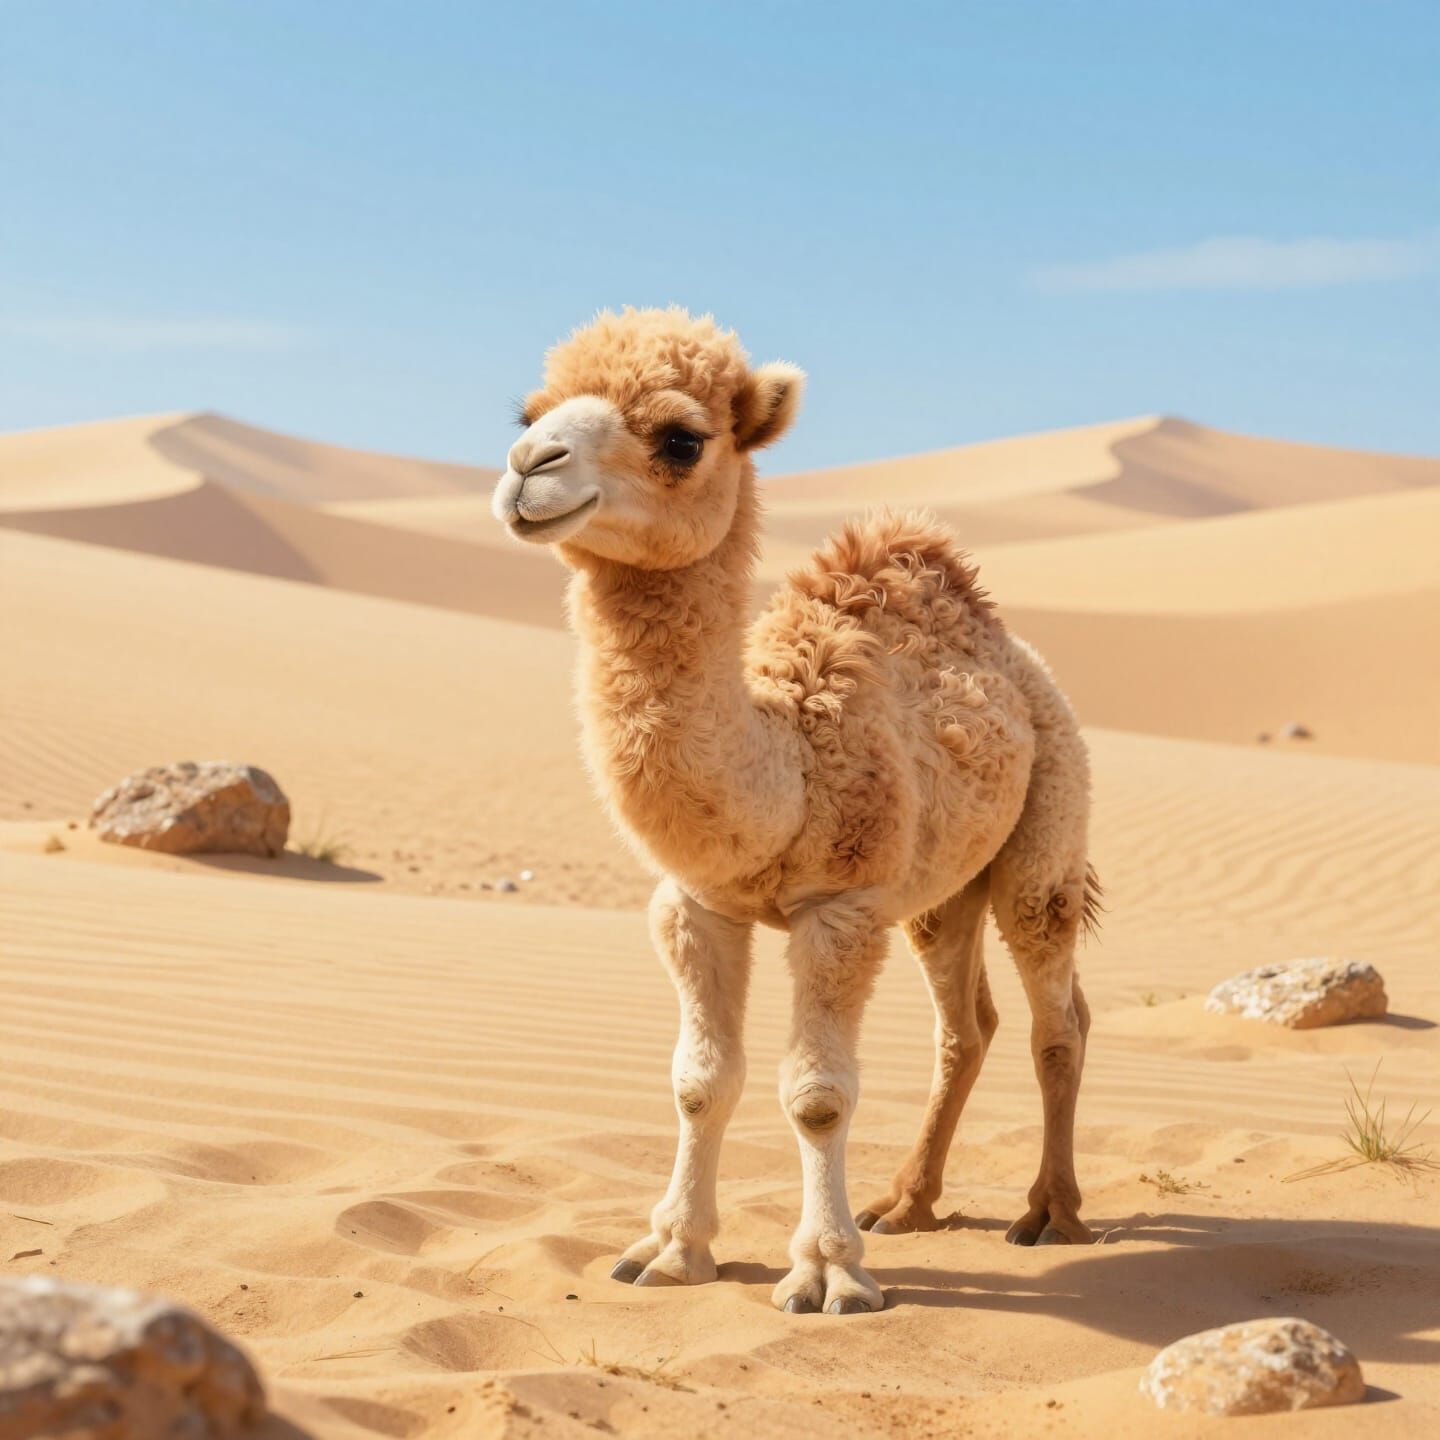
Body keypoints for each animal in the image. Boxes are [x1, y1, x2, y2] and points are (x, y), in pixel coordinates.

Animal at [491, 307, 1098, 1315]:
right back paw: (908, 1201)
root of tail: (1026, 665)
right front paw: (670, 1251)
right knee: (965, 1026)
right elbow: (700, 1081)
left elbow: (817, 1095)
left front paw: (827, 1274)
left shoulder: (839, 909)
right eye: (530, 410)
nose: (529, 465)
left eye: (680, 438)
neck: (785, 767)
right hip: (939, 893)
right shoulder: (696, 904)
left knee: (1057, 1020)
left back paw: (1049, 1213)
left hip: (1049, 822)